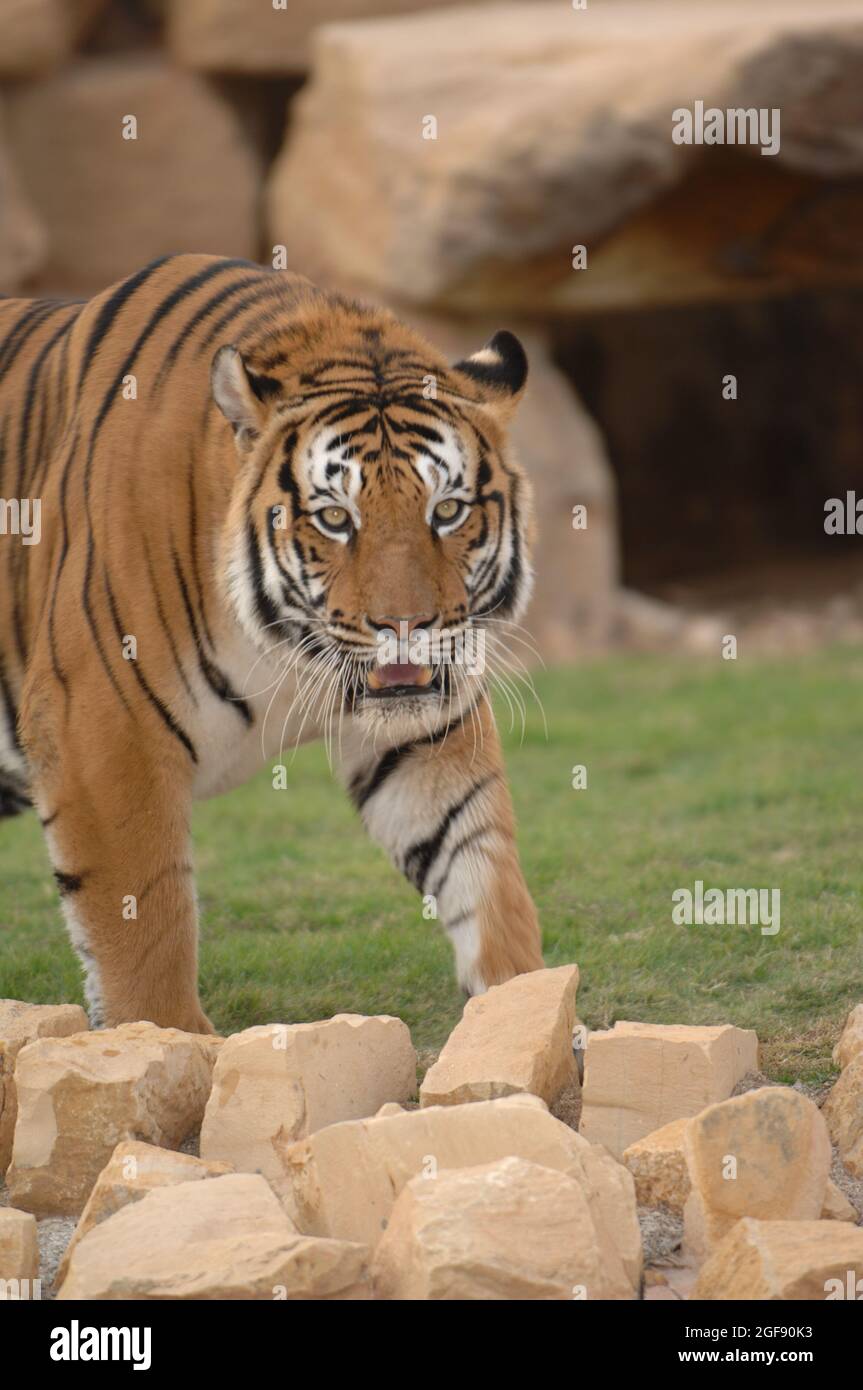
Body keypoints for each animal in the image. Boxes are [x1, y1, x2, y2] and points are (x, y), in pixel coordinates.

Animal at [0, 253, 545, 1034]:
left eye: (446, 511)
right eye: (334, 518)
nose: (405, 626)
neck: (281, 648)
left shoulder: (424, 726)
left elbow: (482, 866)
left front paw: (530, 1013)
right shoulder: (101, 726)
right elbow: (143, 922)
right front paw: (166, 1046)